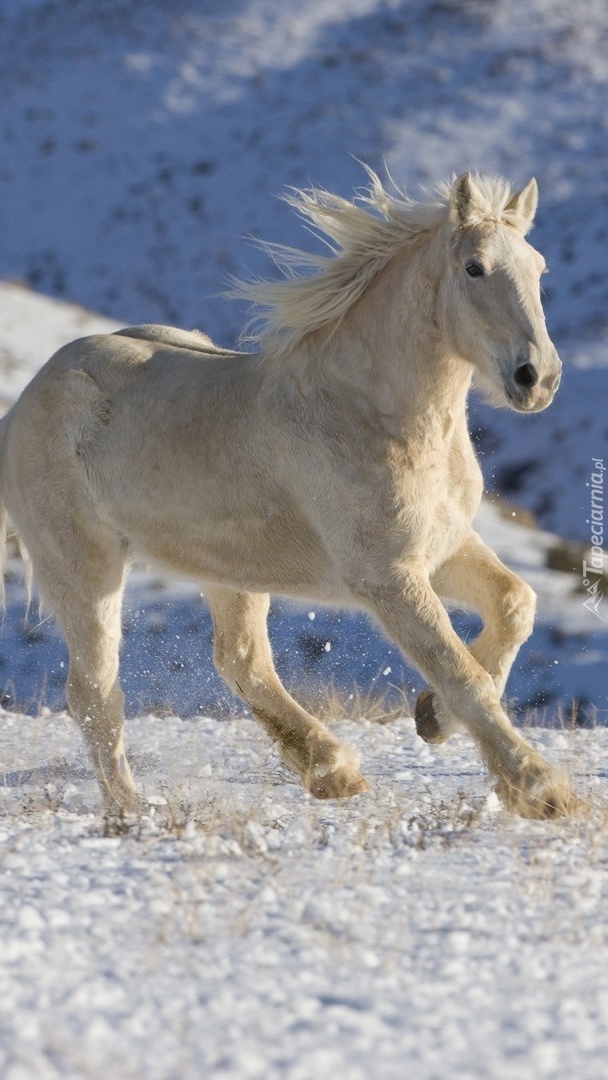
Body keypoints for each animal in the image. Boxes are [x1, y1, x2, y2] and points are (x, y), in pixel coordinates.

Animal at [0, 168, 574, 812]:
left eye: (538, 267)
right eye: (474, 267)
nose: (537, 378)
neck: (370, 412)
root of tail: (22, 405)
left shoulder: (442, 549)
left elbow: (515, 605)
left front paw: (432, 719)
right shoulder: (388, 577)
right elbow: (461, 674)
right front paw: (541, 789)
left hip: (229, 569)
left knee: (241, 661)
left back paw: (333, 771)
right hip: (83, 566)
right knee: (95, 692)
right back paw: (132, 813)